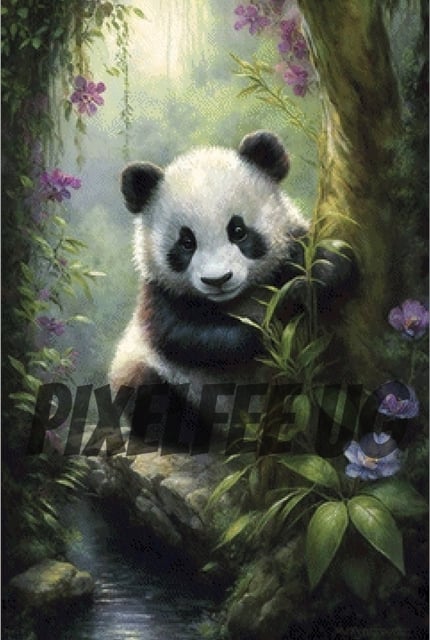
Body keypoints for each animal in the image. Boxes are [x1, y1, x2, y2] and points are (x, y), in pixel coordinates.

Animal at [109, 131, 354, 453]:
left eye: (238, 230)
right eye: (186, 242)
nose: (217, 279)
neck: (238, 299)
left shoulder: (289, 251)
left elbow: (318, 260)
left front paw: (318, 281)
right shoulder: (159, 295)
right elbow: (185, 335)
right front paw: (268, 328)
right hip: (153, 371)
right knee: (146, 391)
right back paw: (188, 432)